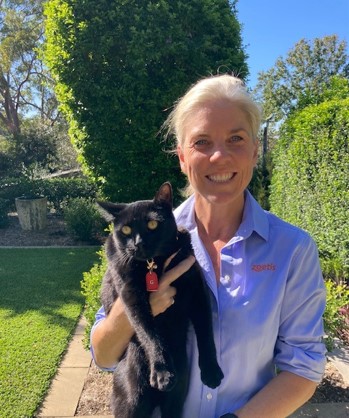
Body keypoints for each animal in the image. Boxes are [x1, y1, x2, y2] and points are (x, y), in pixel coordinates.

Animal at [98, 183, 223, 418]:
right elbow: (149, 332)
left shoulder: (198, 292)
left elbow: (206, 333)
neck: (154, 264)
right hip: (132, 401)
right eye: (126, 230)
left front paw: (212, 372)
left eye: (152, 224)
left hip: (175, 399)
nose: (138, 243)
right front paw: (162, 372)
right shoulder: (132, 296)